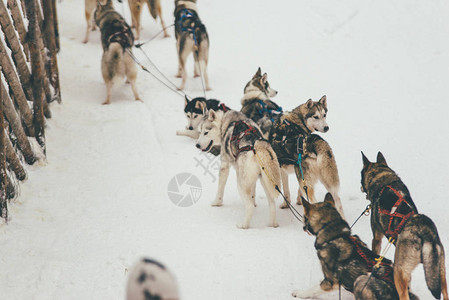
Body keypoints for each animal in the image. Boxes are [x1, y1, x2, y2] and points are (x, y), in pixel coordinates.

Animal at [360, 152, 448, 300]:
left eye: (361, 175)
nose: (361, 187)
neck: (384, 180)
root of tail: (424, 233)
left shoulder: (377, 238)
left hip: (399, 271)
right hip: (440, 272)